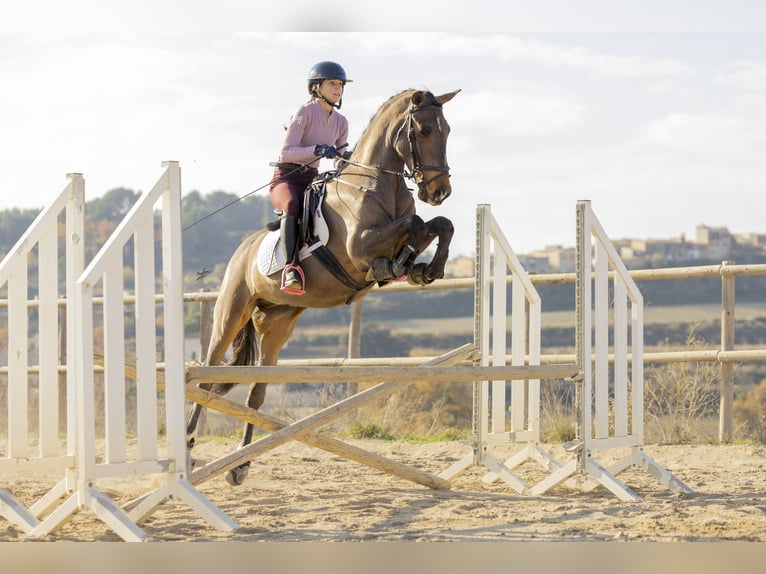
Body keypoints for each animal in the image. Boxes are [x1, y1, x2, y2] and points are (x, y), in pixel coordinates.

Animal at [186, 88, 461, 485]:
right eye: (423, 131)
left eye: (448, 131)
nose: (440, 190)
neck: (379, 185)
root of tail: (241, 251)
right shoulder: (358, 248)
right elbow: (412, 224)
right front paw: (397, 264)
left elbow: (437, 224)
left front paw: (423, 268)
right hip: (231, 312)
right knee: (207, 379)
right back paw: (189, 446)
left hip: (276, 326)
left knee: (255, 394)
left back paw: (239, 465)